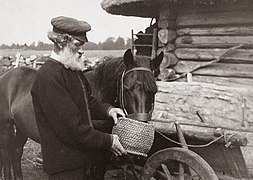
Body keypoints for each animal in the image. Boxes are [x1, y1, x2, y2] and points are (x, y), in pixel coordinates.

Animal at [0, 48, 163, 179]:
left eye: (154, 90)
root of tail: (6, 75)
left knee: (16, 152)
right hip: (6, 127)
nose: (140, 128)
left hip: (22, 128)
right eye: (127, 88)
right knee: (6, 155)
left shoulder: (103, 156)